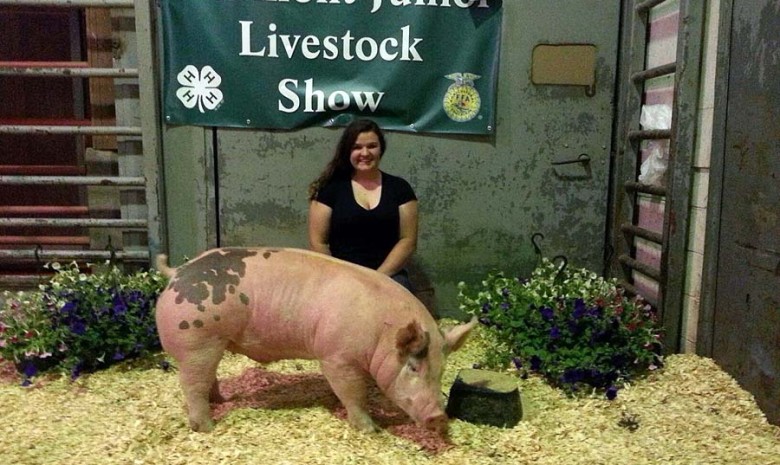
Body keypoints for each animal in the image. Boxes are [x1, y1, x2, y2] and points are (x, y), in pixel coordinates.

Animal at [154, 248, 476, 434]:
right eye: (412, 367)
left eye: (442, 371)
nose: (439, 418)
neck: (381, 332)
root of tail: (177, 273)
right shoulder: (337, 357)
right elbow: (353, 392)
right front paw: (370, 430)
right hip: (196, 342)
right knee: (192, 384)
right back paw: (207, 427)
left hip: (212, 344)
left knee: (208, 378)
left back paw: (220, 400)